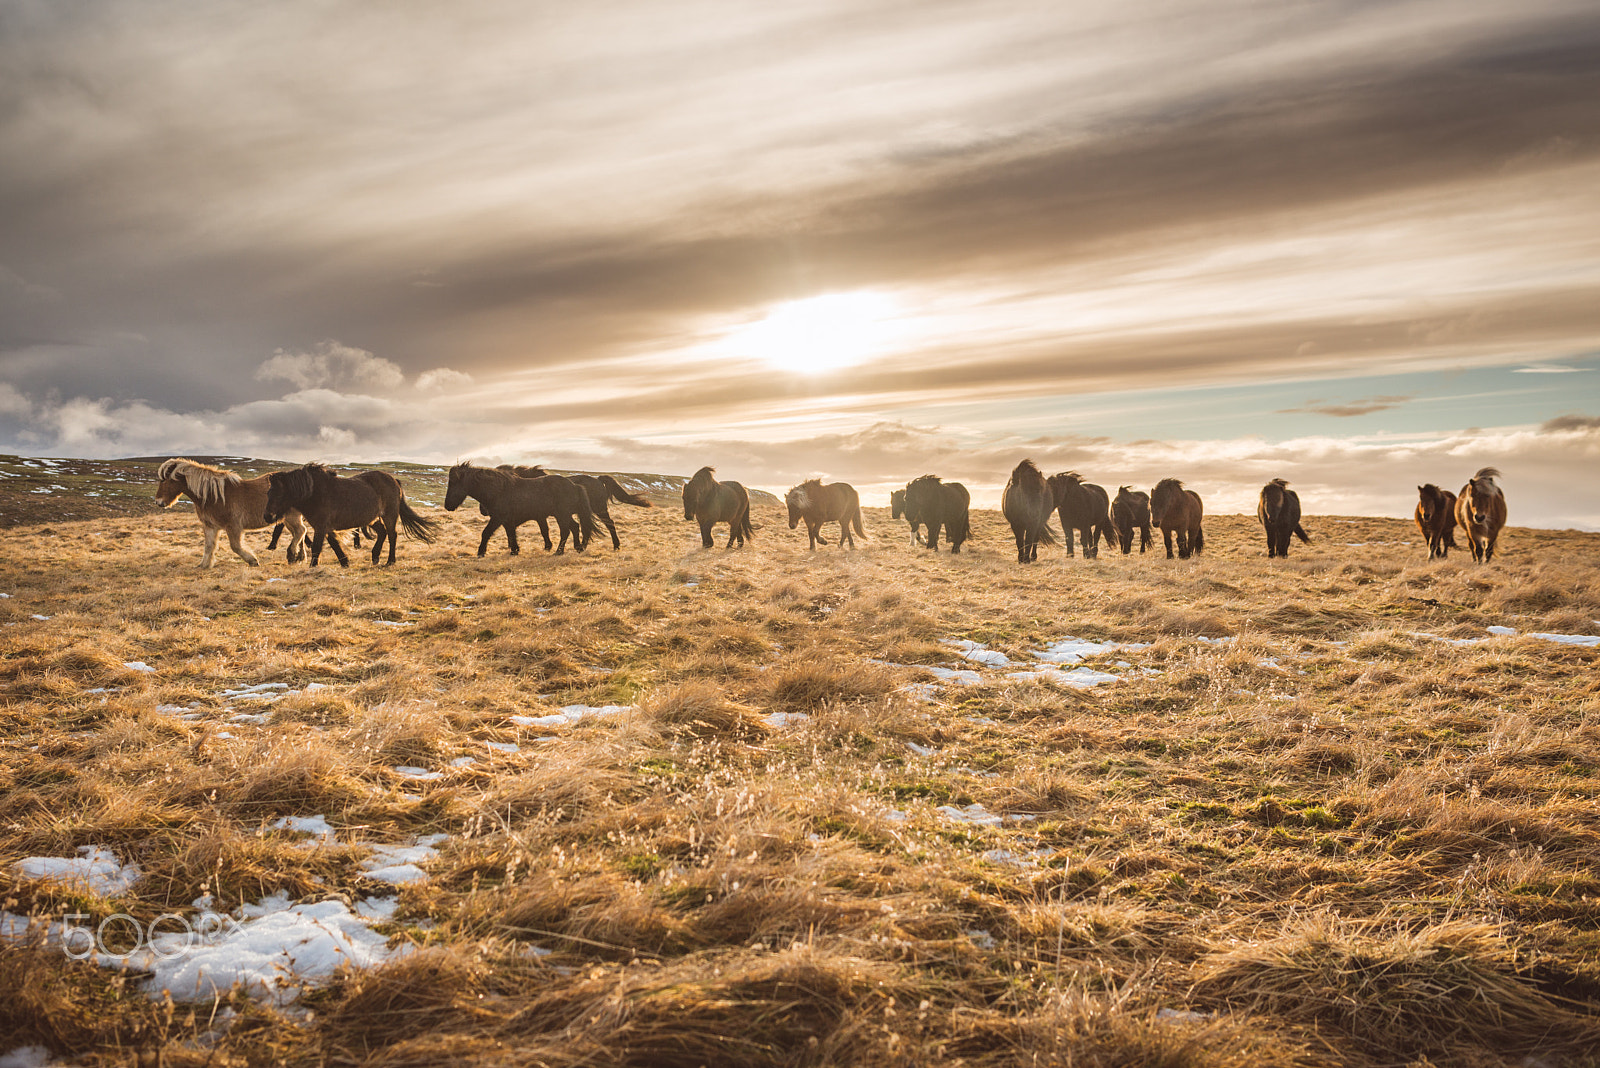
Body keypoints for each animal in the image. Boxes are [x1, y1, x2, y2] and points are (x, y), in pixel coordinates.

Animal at [154, 457, 307, 565]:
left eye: (165, 480)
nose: (158, 502)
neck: (212, 496)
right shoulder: (210, 526)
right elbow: (209, 546)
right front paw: (204, 565)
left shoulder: (233, 526)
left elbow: (235, 546)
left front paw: (252, 560)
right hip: (287, 519)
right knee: (298, 533)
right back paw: (299, 557)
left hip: (291, 517)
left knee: (300, 531)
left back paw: (292, 555)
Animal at [265, 463, 438, 565]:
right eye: (268, 492)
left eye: (278, 493)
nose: (267, 516)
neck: (315, 493)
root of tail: (394, 480)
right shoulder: (326, 527)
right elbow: (334, 544)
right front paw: (345, 562)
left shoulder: (321, 526)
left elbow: (317, 547)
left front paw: (313, 567)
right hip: (372, 519)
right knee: (382, 533)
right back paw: (375, 557)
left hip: (389, 515)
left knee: (392, 535)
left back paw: (390, 561)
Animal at [444, 460, 595, 556]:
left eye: (453, 483)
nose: (447, 506)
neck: (499, 491)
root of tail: (574, 485)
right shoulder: (507, 521)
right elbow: (511, 534)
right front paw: (515, 550)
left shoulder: (497, 518)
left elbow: (486, 533)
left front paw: (481, 552)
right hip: (565, 515)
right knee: (575, 527)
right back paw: (578, 548)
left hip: (562, 515)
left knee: (565, 531)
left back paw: (559, 551)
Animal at [502, 463, 646, 549]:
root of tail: (598, 480)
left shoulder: (541, 516)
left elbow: (544, 530)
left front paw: (548, 546)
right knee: (588, 526)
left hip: (599, 509)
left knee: (608, 523)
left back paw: (615, 545)